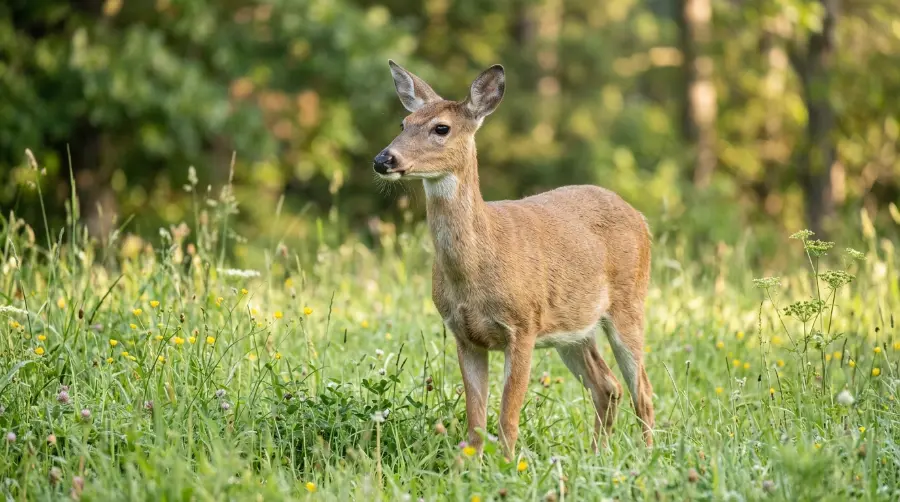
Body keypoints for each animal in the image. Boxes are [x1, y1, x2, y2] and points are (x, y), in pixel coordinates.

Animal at [372, 61, 655, 457]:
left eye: (441, 127)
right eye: (403, 123)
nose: (383, 159)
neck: (476, 268)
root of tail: (641, 218)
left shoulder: (523, 325)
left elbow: (507, 419)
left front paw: (506, 464)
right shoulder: (464, 335)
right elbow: (475, 423)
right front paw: (471, 465)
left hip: (629, 302)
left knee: (641, 388)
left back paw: (648, 453)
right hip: (574, 329)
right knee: (607, 386)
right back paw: (596, 453)